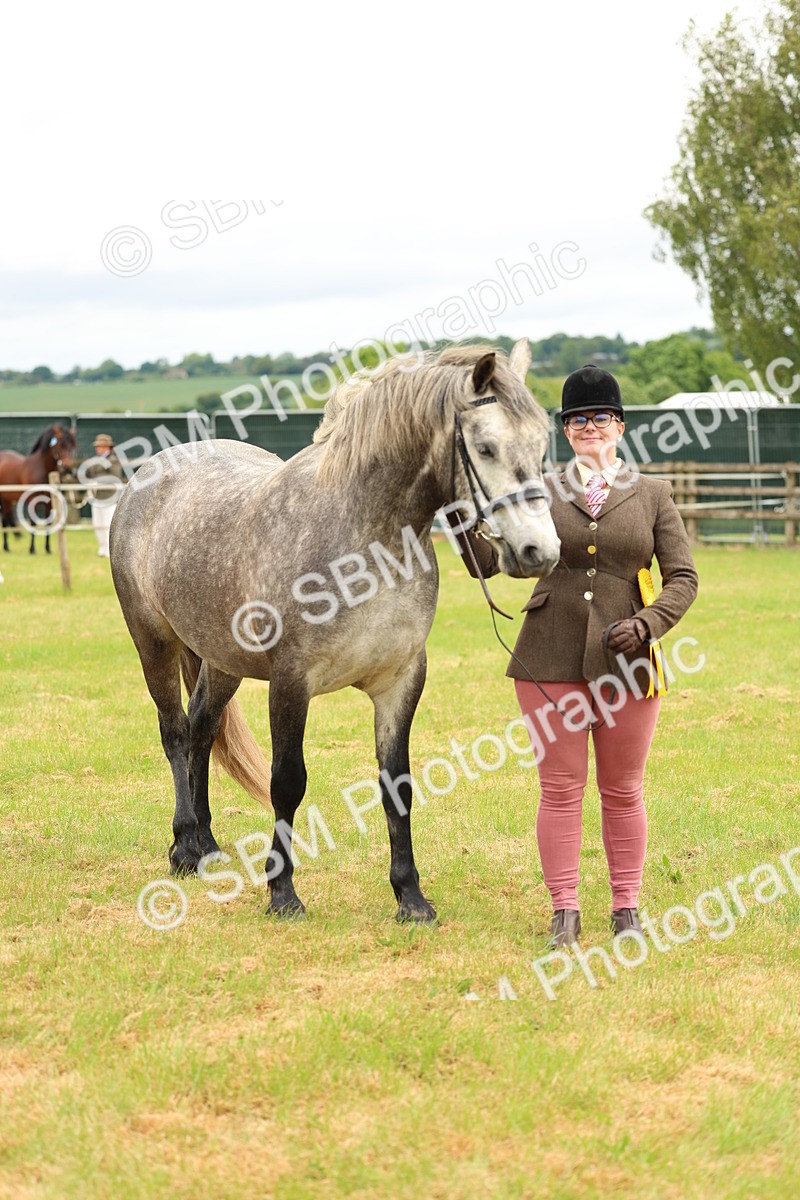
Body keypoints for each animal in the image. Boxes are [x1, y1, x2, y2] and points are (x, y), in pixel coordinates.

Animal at [0, 425, 77, 554]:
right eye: (61, 445)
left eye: (72, 446)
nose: (67, 469)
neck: (43, 469)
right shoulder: (33, 500)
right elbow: (33, 522)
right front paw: (32, 549)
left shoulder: (50, 502)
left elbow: (48, 523)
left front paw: (47, 548)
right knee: (5, 521)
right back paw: (6, 547)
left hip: (8, 500)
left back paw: (7, 547)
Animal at [110, 341, 561, 922]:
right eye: (485, 448)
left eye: (541, 445)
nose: (539, 551)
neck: (364, 538)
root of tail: (150, 472)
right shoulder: (290, 682)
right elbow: (287, 782)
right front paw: (282, 894)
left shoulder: (400, 681)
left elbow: (397, 785)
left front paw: (410, 897)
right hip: (154, 642)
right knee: (175, 733)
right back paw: (185, 847)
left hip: (223, 660)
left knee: (203, 730)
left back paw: (207, 846)